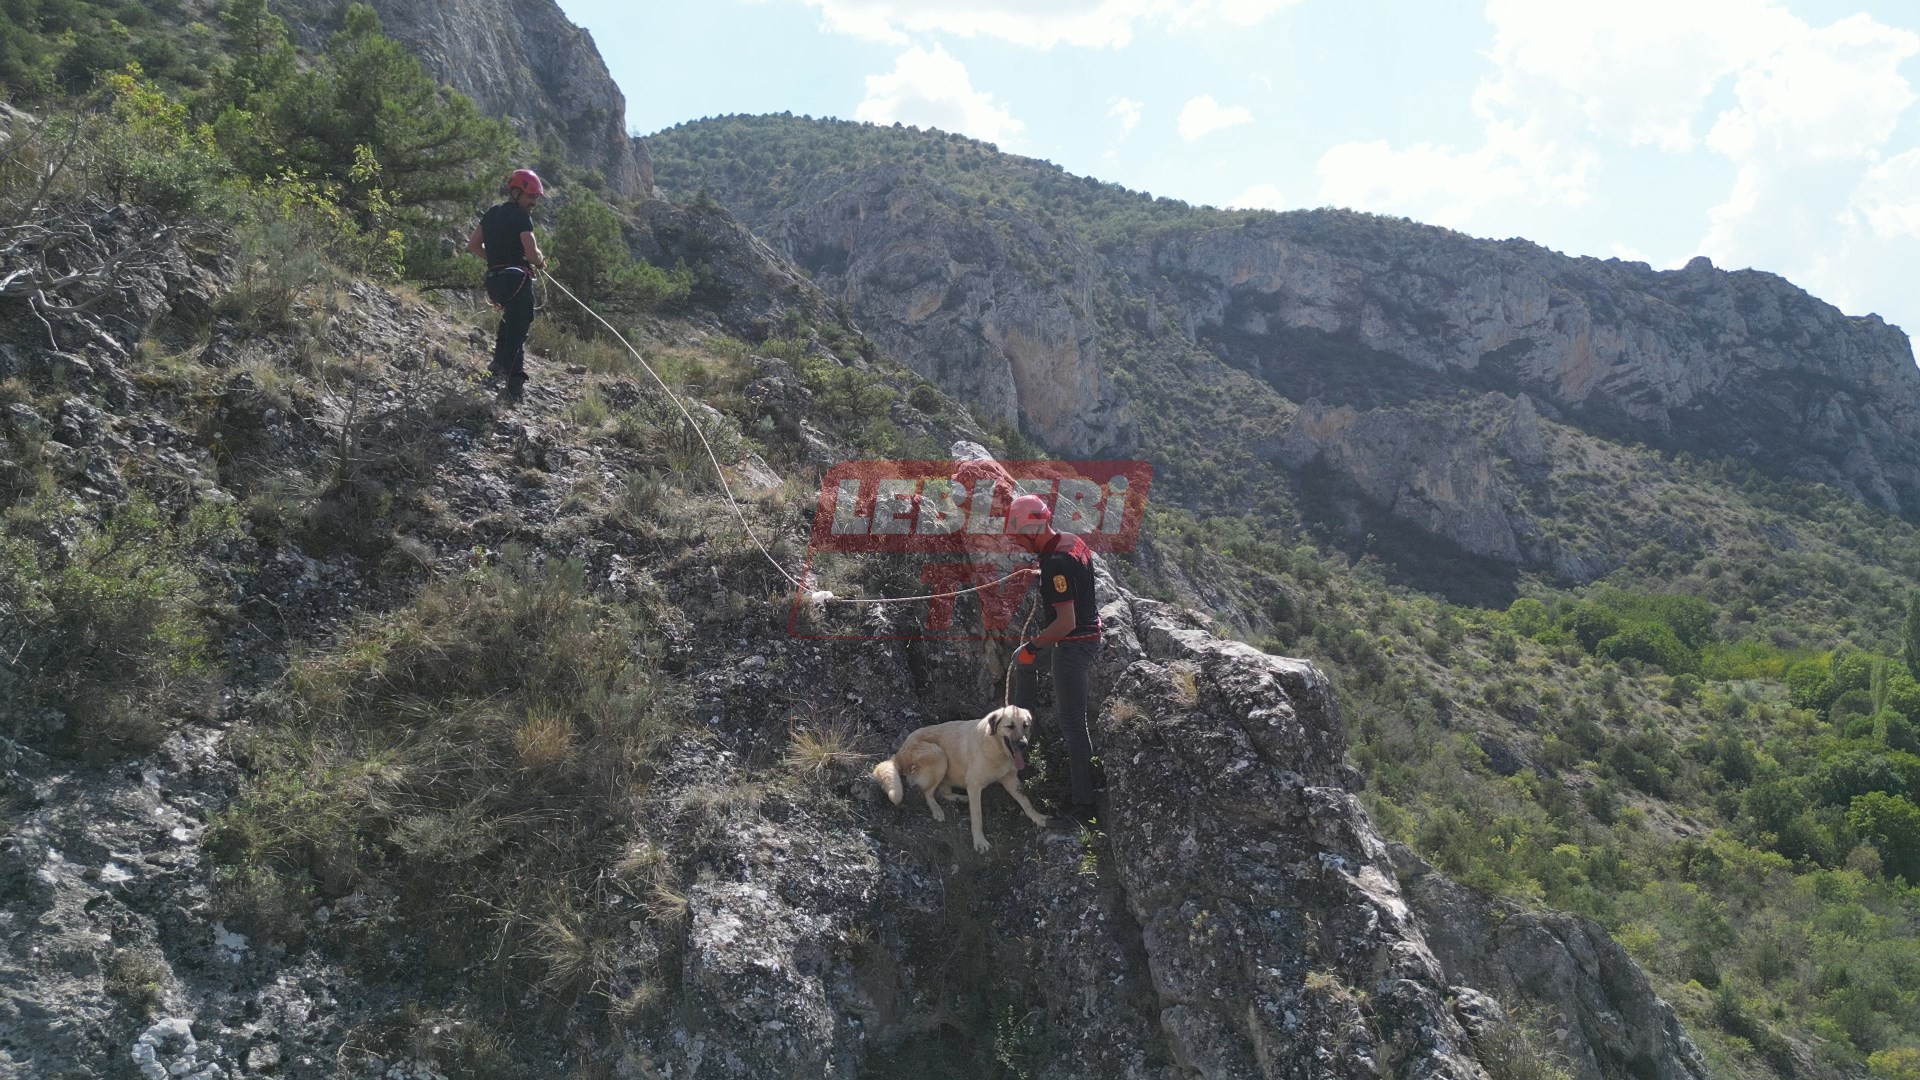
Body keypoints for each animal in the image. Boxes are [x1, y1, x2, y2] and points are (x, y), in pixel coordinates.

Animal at [875, 707, 1052, 849]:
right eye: (1010, 726)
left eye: (1025, 725)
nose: (1023, 744)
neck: (996, 747)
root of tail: (899, 753)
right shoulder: (974, 786)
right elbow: (977, 817)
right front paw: (979, 841)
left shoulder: (1010, 779)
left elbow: (1025, 801)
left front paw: (1037, 818)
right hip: (938, 755)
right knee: (928, 793)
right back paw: (937, 810)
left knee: (943, 792)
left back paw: (961, 798)